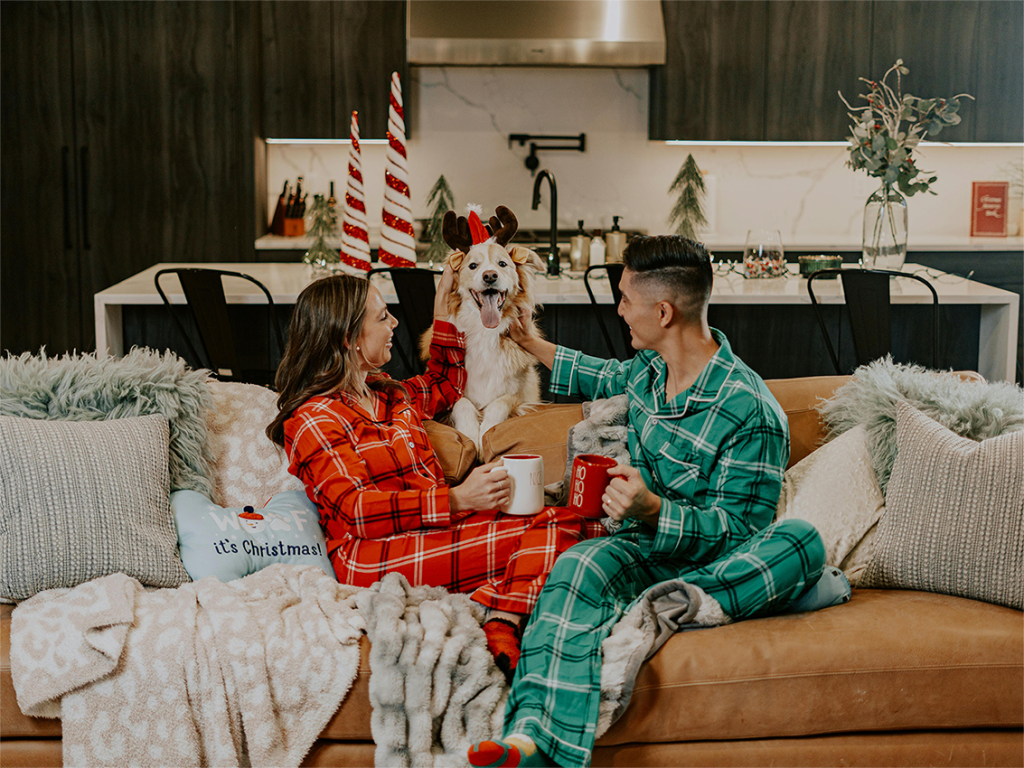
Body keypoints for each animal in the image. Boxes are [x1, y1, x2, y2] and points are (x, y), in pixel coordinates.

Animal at [417, 207, 548, 454]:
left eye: (502, 264)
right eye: (472, 266)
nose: (490, 276)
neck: (484, 333)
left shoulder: (522, 398)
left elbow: (500, 402)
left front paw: (486, 432)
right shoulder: (451, 394)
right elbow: (462, 403)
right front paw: (470, 435)